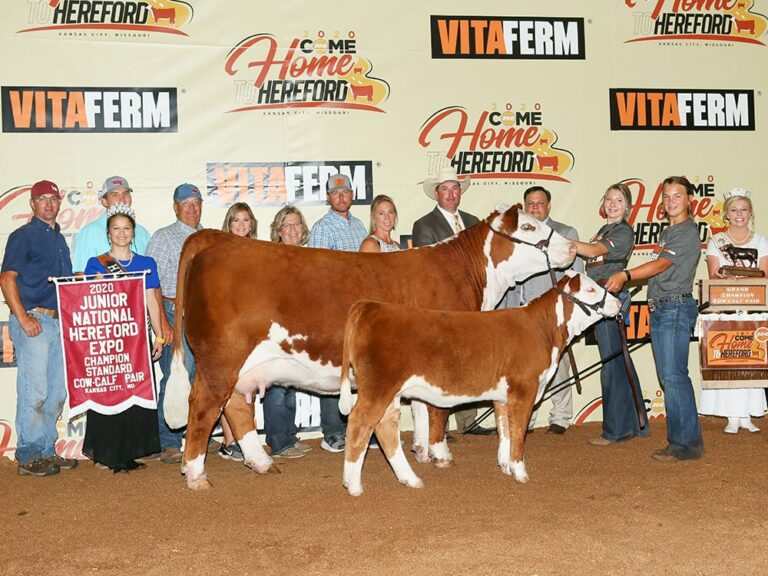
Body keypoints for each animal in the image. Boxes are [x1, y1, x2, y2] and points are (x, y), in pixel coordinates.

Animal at [163, 204, 576, 489]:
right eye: (529, 226)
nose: (572, 247)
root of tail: (217, 238)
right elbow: (439, 411)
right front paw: (440, 454)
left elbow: (422, 407)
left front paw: (421, 451)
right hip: (221, 356)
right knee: (204, 406)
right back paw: (196, 474)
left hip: (242, 363)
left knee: (234, 405)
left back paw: (261, 463)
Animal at [338, 271, 621, 496]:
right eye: (591, 289)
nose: (618, 301)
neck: (543, 330)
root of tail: (369, 306)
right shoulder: (524, 389)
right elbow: (519, 433)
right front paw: (520, 472)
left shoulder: (503, 396)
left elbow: (505, 430)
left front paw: (506, 466)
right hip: (379, 388)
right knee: (359, 423)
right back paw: (353, 485)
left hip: (389, 392)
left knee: (384, 428)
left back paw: (410, 479)